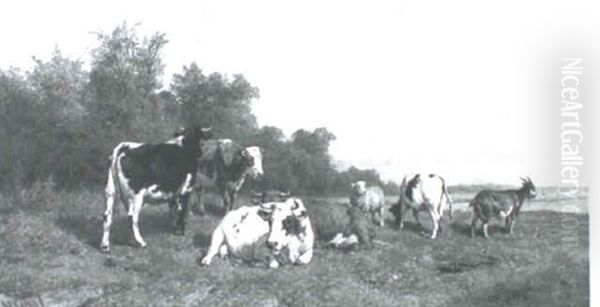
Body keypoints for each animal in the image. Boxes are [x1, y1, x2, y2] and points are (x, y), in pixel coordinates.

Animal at [102, 125, 214, 253]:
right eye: (201, 137)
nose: (201, 153)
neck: (185, 146)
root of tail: (125, 146)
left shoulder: (172, 192)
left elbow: (172, 211)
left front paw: (174, 229)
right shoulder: (185, 189)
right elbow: (181, 210)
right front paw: (180, 231)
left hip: (111, 192)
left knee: (107, 216)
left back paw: (105, 246)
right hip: (136, 196)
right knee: (132, 217)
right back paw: (141, 242)